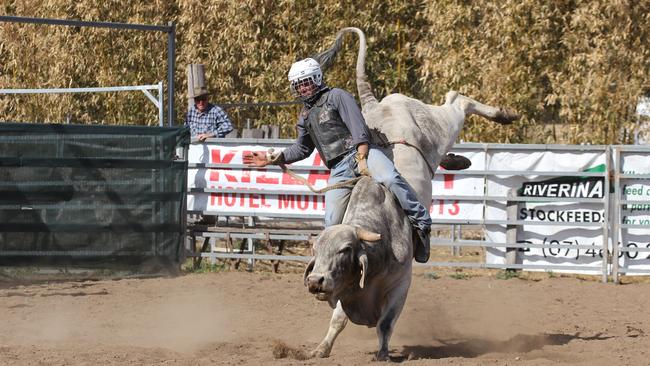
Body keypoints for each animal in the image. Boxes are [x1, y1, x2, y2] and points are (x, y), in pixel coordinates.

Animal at [302, 27, 520, 360]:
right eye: (317, 250)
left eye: (344, 250)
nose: (315, 281)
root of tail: (378, 105)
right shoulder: (347, 292)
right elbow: (338, 320)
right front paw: (321, 349)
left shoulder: (402, 282)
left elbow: (386, 323)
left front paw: (383, 354)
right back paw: (459, 161)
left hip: (442, 125)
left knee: (458, 100)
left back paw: (503, 115)